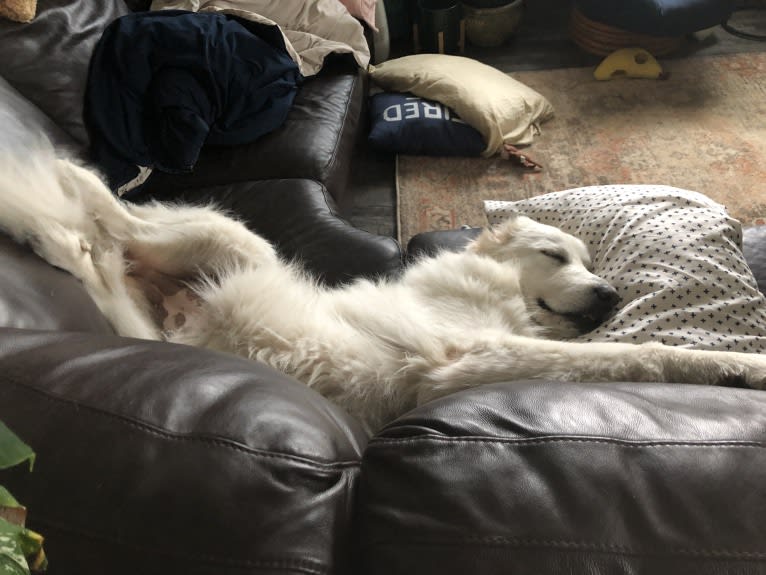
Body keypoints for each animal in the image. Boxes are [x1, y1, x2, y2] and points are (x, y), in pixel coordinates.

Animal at [1, 148, 766, 432]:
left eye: (591, 263)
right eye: (555, 255)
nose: (609, 296)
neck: (498, 294)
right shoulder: (474, 352)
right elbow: (645, 354)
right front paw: (745, 364)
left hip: (164, 303)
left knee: (99, 256)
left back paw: (61, 232)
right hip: (237, 241)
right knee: (110, 217)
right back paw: (67, 183)